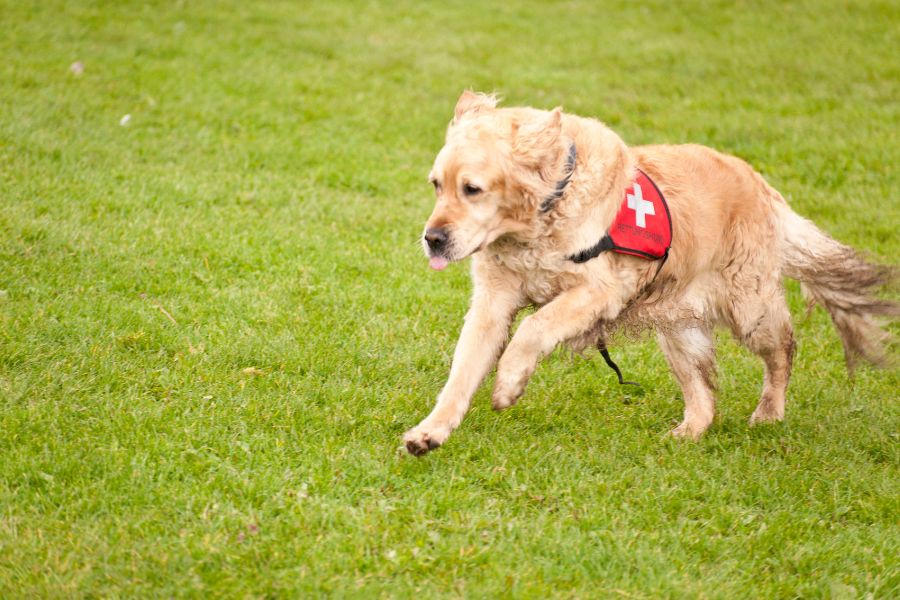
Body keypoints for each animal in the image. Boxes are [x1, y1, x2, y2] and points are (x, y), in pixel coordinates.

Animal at [404, 90, 896, 454]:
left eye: (472, 189)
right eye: (436, 185)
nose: (433, 238)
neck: (544, 212)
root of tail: (759, 184)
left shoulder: (600, 290)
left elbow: (534, 327)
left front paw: (508, 384)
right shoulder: (492, 303)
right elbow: (462, 372)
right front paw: (430, 432)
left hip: (749, 307)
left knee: (784, 349)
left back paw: (769, 413)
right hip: (678, 322)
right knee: (703, 394)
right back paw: (687, 433)